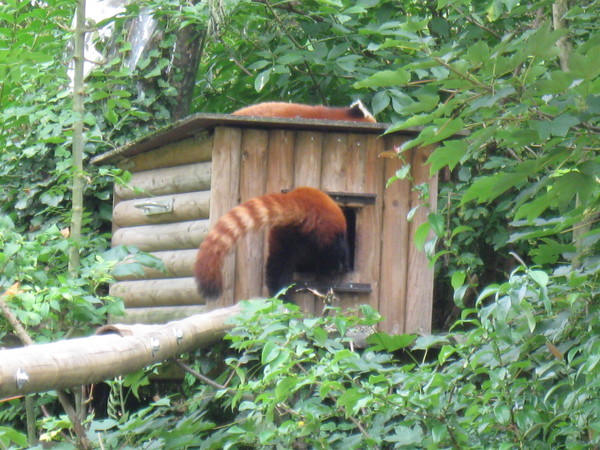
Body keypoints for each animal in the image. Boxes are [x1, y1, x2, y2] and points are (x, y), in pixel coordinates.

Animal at [195, 187, 350, 302]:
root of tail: (299, 199)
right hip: (324, 229)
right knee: (334, 251)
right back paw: (336, 268)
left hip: (284, 235)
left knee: (278, 267)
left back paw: (282, 296)